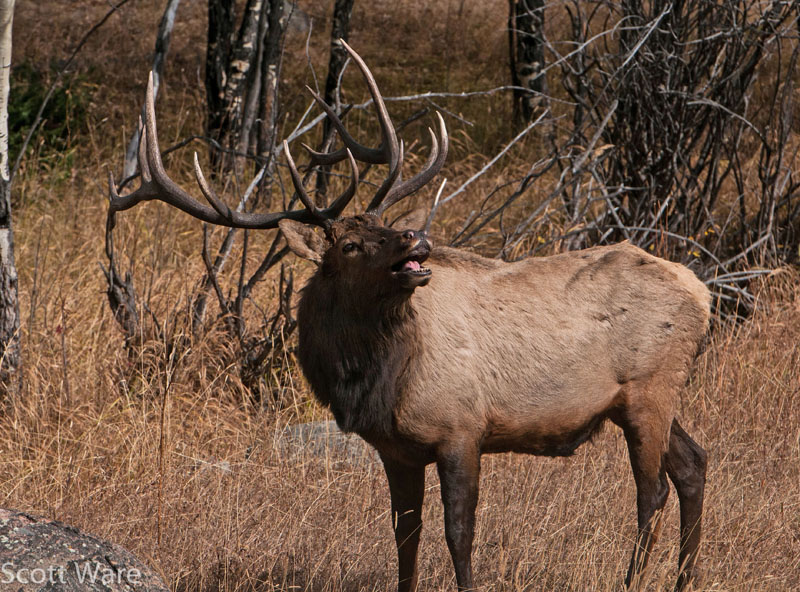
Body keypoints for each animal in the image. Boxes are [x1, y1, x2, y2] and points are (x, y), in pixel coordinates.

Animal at [107, 42, 710, 592]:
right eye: (350, 244)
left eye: (383, 223)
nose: (415, 237)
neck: (377, 380)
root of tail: (703, 292)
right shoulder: (395, 450)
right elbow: (405, 536)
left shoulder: (462, 427)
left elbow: (459, 534)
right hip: (646, 397)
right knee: (693, 464)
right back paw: (684, 578)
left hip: (648, 387)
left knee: (652, 489)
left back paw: (635, 579)